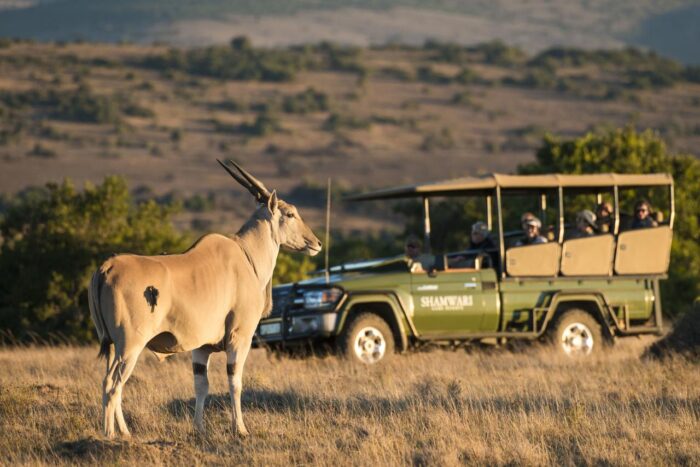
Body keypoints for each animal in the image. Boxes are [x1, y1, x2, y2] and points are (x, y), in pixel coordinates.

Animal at [86, 161, 322, 438]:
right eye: (290, 214)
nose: (316, 243)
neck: (246, 256)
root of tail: (106, 267)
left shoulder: (201, 347)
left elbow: (201, 385)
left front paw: (198, 428)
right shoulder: (239, 338)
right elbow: (235, 382)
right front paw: (240, 429)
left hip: (113, 346)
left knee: (112, 384)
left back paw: (125, 432)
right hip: (129, 346)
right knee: (112, 384)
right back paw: (110, 435)